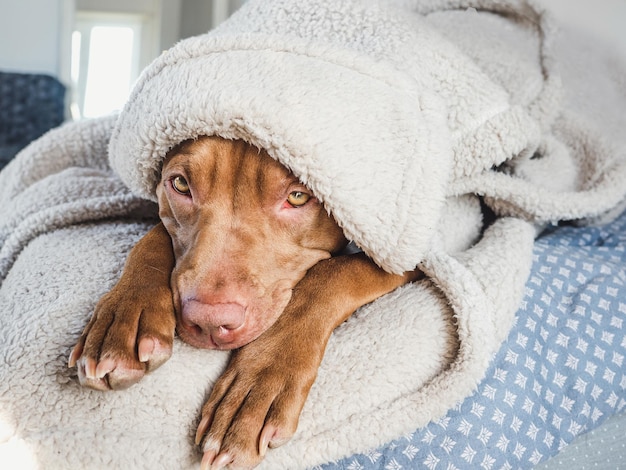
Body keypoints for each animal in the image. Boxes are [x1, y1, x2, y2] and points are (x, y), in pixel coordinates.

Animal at [68, 136, 420, 466]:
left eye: (298, 197)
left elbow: (333, 273)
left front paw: (258, 388)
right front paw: (125, 315)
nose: (209, 322)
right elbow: (155, 235)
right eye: (180, 184)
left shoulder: (407, 248)